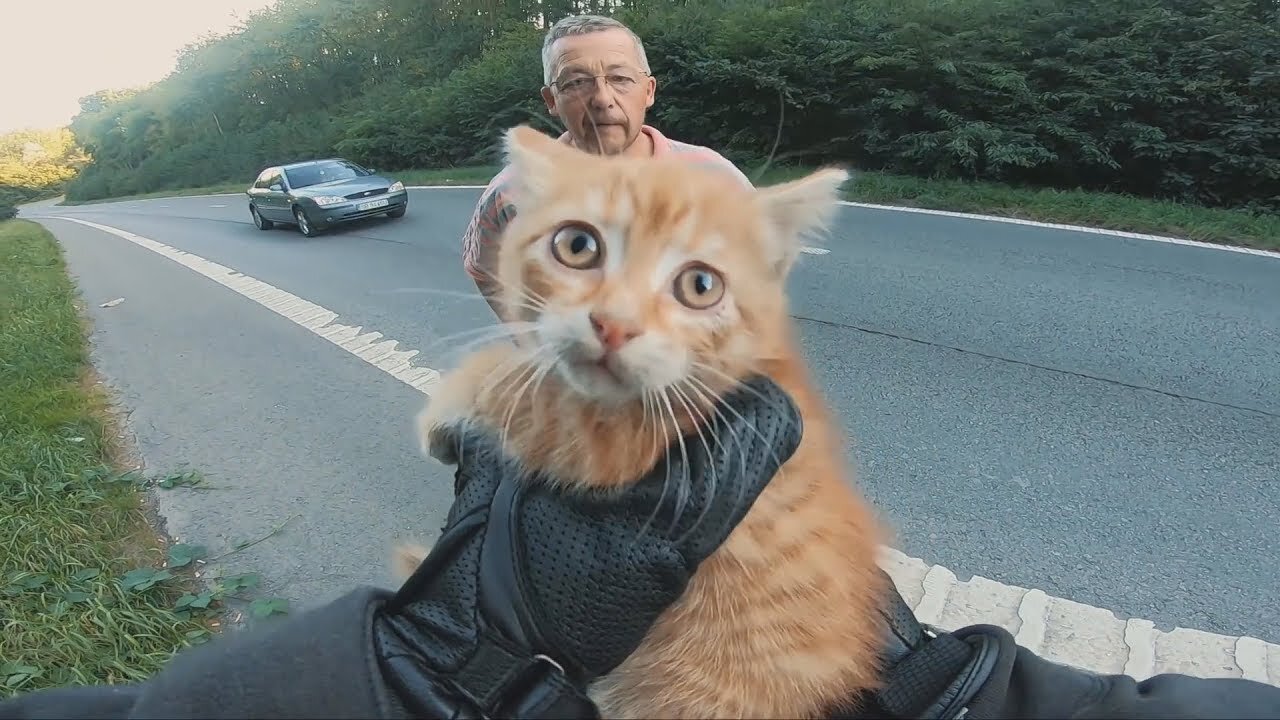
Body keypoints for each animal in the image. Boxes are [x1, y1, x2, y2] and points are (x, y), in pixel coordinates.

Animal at [401, 126, 890, 712]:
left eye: (700, 285)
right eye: (577, 246)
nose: (614, 324)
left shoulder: (620, 445)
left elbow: (520, 387)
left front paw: (443, 410)